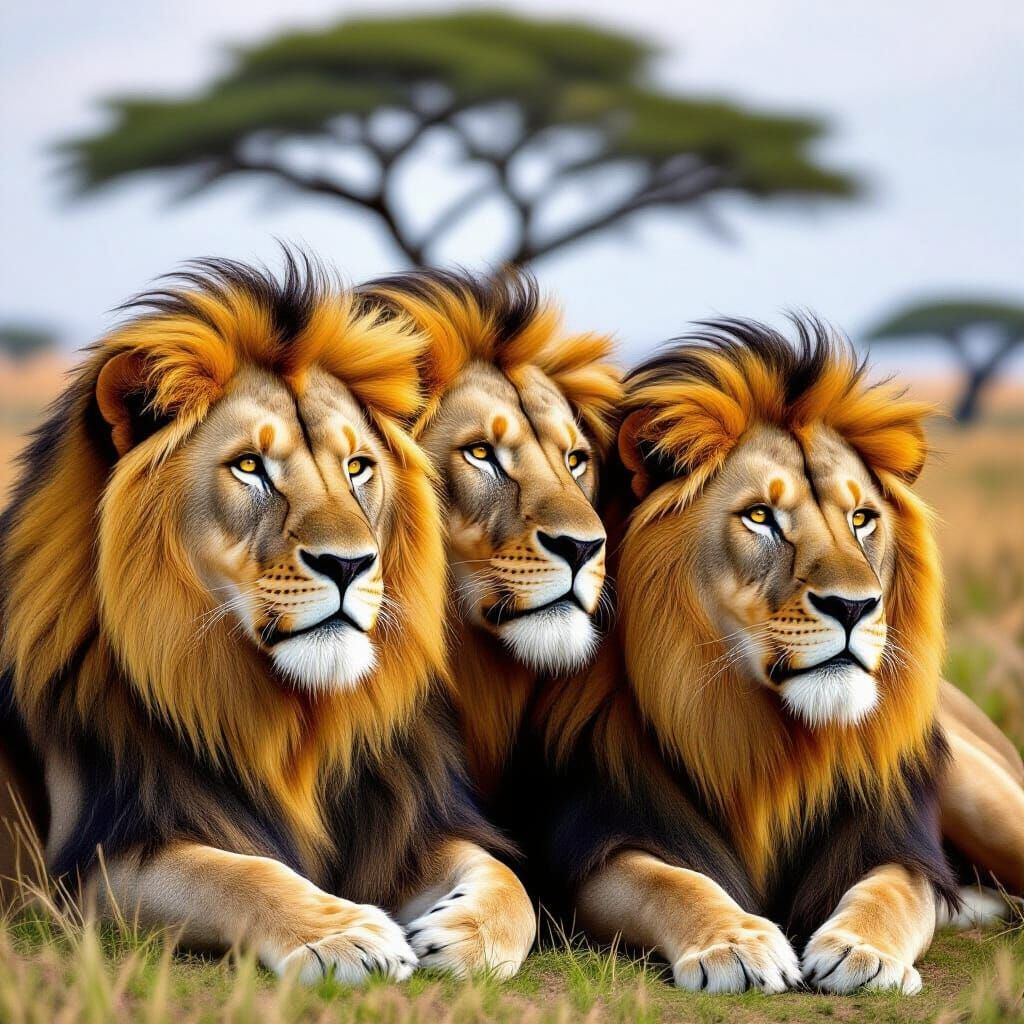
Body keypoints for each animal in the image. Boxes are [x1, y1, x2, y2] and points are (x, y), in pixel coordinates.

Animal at [0, 255, 535, 981]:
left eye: (357, 467)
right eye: (250, 467)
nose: (350, 564)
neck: (294, 722)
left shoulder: (403, 822)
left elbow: (511, 881)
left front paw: (467, 936)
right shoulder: (94, 866)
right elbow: (239, 875)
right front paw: (346, 935)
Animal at [527, 318, 980, 995]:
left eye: (862, 519)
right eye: (761, 516)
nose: (855, 606)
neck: (775, 742)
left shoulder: (897, 841)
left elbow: (892, 891)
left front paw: (861, 951)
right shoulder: (607, 834)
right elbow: (675, 882)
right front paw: (735, 945)